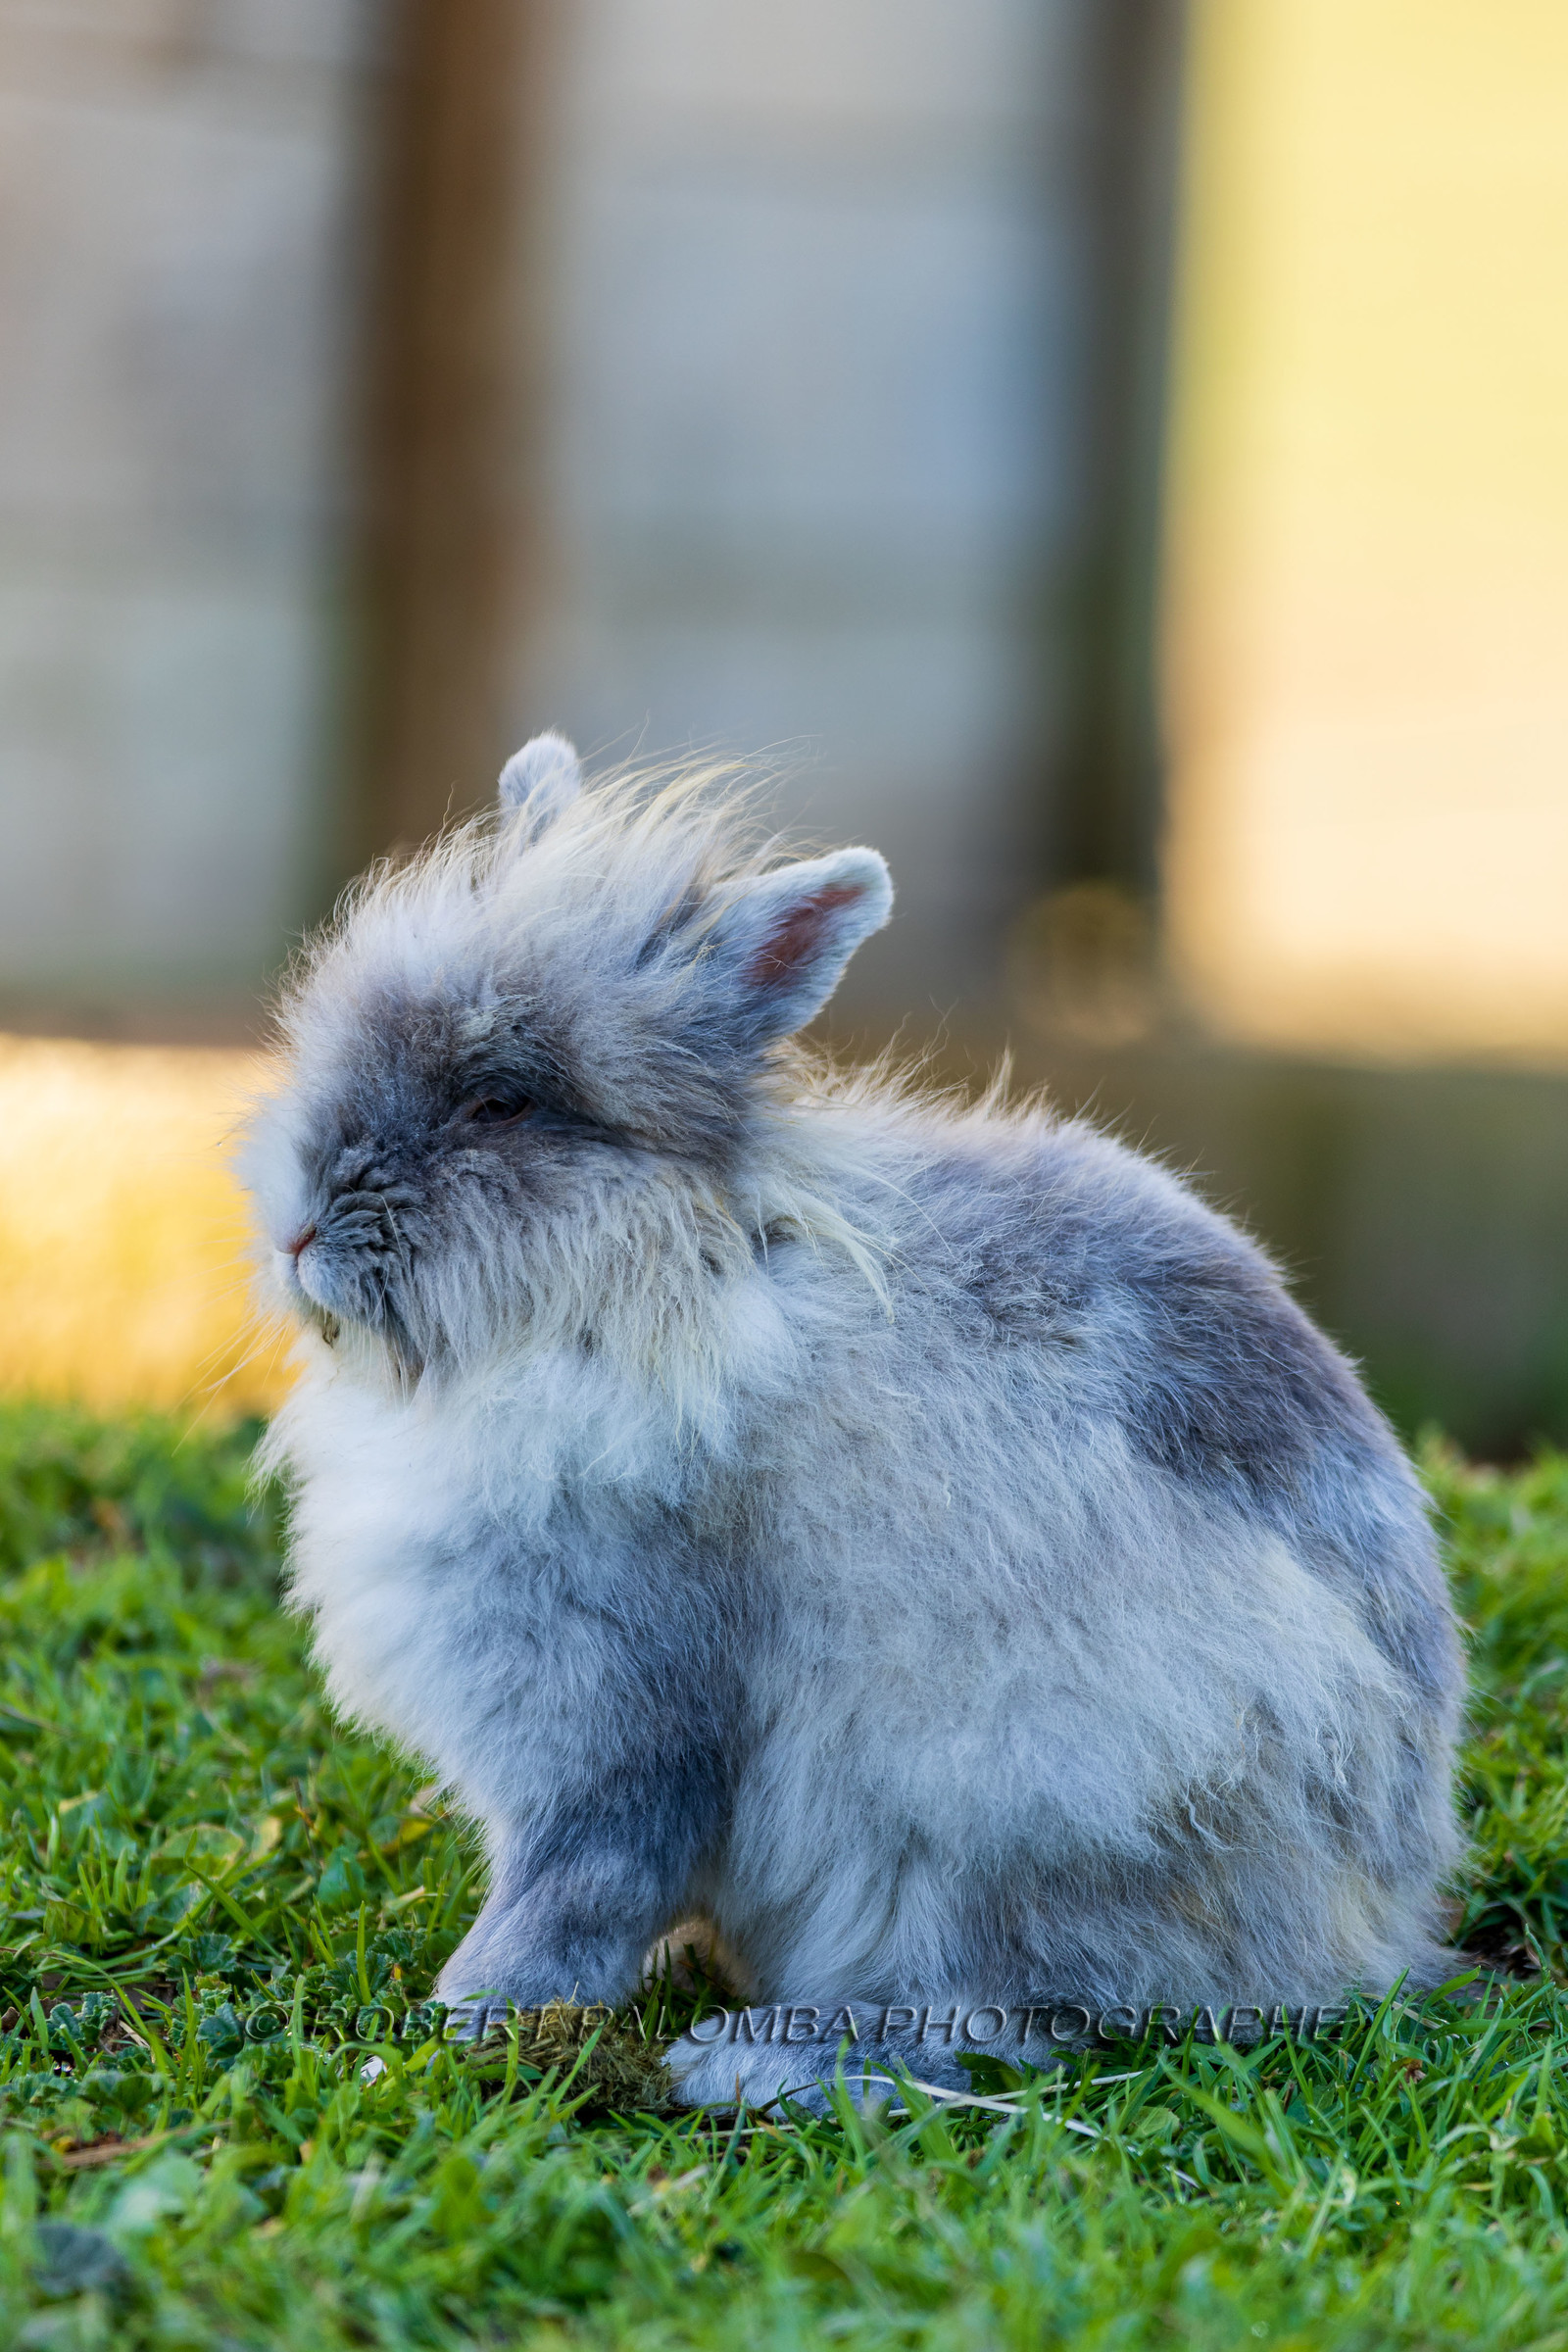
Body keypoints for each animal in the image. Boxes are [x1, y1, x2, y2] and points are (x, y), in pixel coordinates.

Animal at [242, 735, 1464, 2112]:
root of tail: (1372, 1912)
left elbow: (582, 1881)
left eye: (500, 1103)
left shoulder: (618, 1716)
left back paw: (752, 2062)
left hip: (1017, 1784)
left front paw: (465, 2018)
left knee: (996, 2020)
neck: (648, 1280)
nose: (296, 1227)